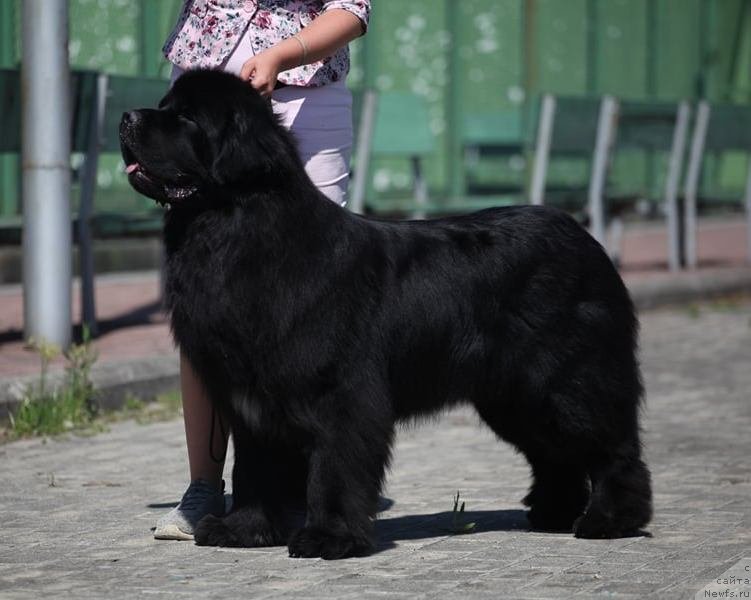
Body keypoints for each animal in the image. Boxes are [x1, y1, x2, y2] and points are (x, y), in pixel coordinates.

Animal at [122, 71, 652, 564]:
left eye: (187, 118)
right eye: (166, 105)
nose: (126, 117)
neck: (232, 230)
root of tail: (582, 236)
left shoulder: (340, 395)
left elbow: (334, 470)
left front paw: (329, 538)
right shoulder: (251, 399)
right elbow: (253, 470)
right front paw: (243, 530)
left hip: (565, 382)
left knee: (612, 448)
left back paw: (610, 520)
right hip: (512, 396)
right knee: (554, 454)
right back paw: (552, 514)